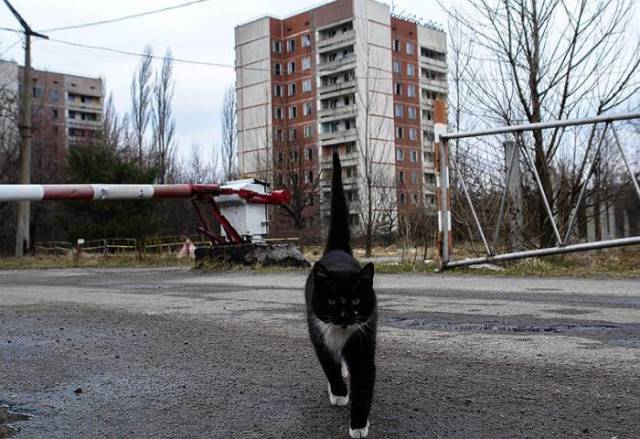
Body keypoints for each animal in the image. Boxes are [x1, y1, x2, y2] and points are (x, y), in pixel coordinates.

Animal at [304, 152, 376, 439]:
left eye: (355, 301)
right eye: (333, 300)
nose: (345, 315)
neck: (340, 333)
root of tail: (338, 250)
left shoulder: (363, 343)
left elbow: (364, 383)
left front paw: (358, 425)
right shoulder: (319, 336)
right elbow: (329, 367)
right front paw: (339, 393)